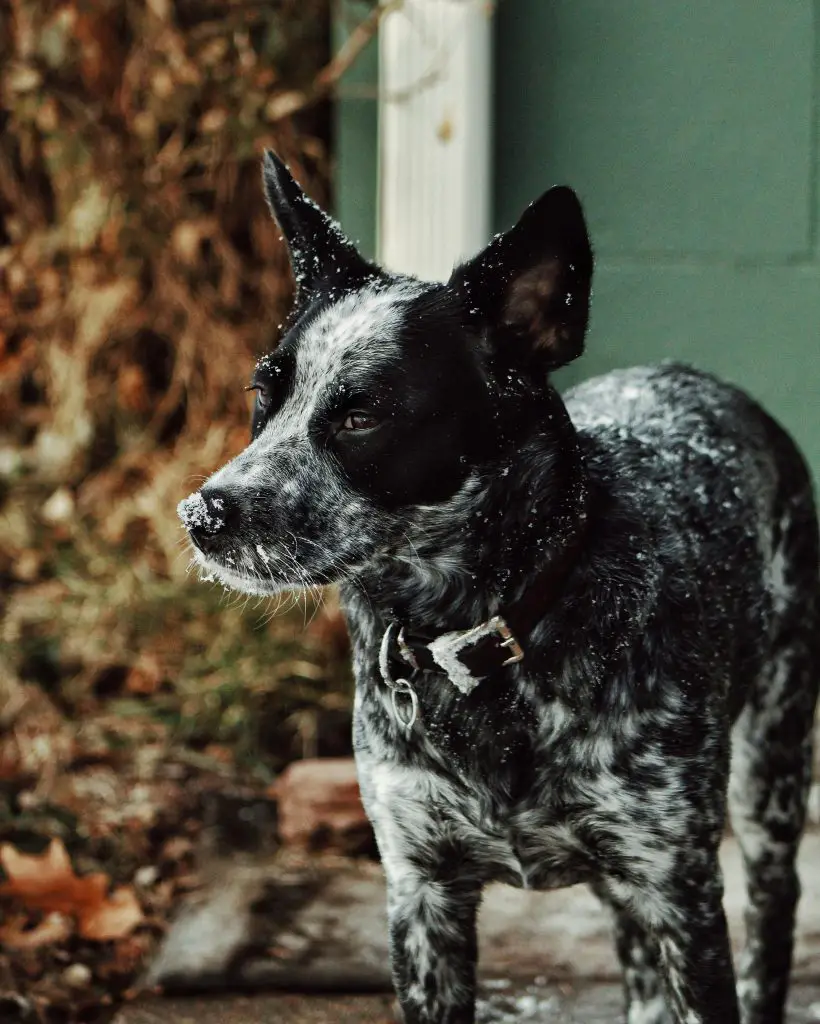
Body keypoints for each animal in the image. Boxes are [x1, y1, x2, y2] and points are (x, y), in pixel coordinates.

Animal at [179, 151, 818, 1024]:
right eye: (262, 396)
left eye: (362, 415)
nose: (202, 513)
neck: (482, 635)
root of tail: (697, 377)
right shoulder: (422, 891)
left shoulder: (676, 885)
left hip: (770, 774)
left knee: (772, 910)